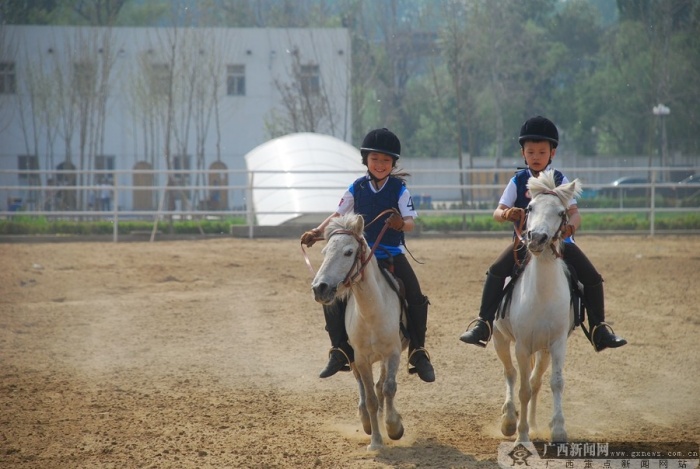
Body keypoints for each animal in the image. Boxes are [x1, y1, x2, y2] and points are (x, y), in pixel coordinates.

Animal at [310, 212, 408, 450]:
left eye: (348, 252)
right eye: (324, 252)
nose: (319, 288)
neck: (371, 312)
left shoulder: (393, 353)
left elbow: (388, 388)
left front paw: (394, 427)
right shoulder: (361, 358)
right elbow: (370, 396)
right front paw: (376, 441)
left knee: (381, 385)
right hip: (353, 356)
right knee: (363, 387)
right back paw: (366, 421)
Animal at [490, 169, 584, 442]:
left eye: (562, 213)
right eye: (529, 207)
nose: (537, 238)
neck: (541, 295)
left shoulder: (557, 344)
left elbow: (554, 383)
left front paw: (558, 429)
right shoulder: (521, 345)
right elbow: (521, 387)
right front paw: (521, 435)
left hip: (542, 350)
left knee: (535, 381)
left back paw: (530, 422)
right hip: (500, 338)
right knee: (510, 373)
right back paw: (509, 420)